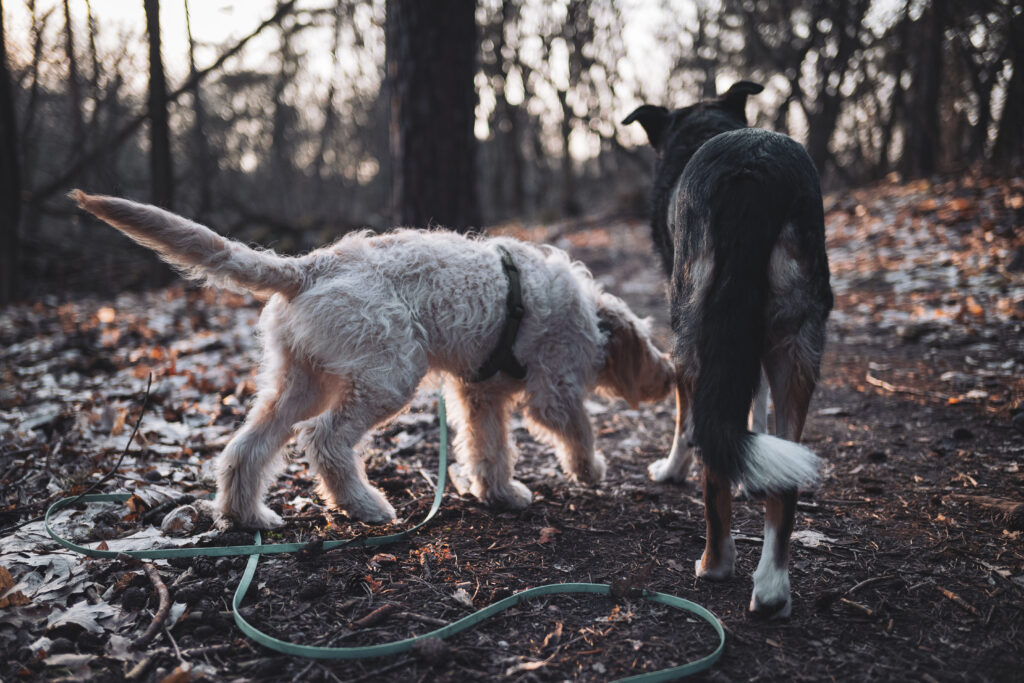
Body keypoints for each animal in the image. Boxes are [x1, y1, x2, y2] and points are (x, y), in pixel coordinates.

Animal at [75, 191, 675, 528]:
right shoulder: (553, 389)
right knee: (323, 440)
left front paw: (499, 494)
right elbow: (576, 428)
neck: (588, 314)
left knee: (246, 449)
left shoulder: (478, 395)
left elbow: (489, 450)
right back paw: (364, 505)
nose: (671, 380)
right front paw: (590, 469)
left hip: (301, 382)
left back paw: (247, 517)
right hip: (388, 377)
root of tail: (307, 268)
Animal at [622, 81, 831, 618]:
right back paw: (773, 588)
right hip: (798, 338)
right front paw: (752, 470)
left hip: (690, 322)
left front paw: (670, 469)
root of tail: (752, 173)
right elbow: (751, 401)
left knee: (708, 456)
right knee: (788, 478)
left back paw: (714, 562)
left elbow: (685, 423)